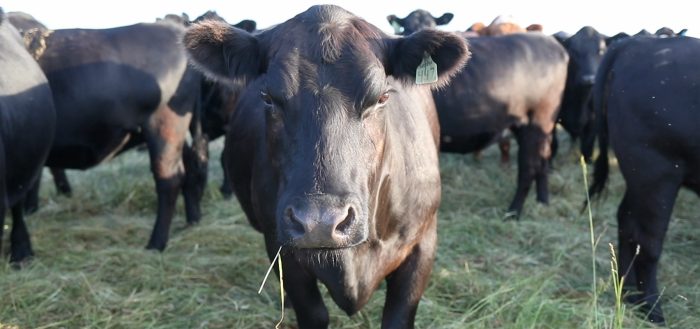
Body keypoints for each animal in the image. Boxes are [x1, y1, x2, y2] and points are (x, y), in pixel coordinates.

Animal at [23, 21, 211, 251]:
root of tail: (174, 27)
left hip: (164, 124)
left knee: (169, 179)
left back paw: (156, 243)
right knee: (189, 167)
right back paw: (192, 220)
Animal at [186, 5, 470, 328]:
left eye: (382, 96)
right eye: (268, 98)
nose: (319, 223)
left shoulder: (422, 244)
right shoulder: (282, 250)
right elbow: (313, 312)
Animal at [588, 35, 700, 322]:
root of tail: (638, 41)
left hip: (639, 176)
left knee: (626, 221)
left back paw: (626, 291)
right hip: (657, 171)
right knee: (648, 241)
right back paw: (652, 309)